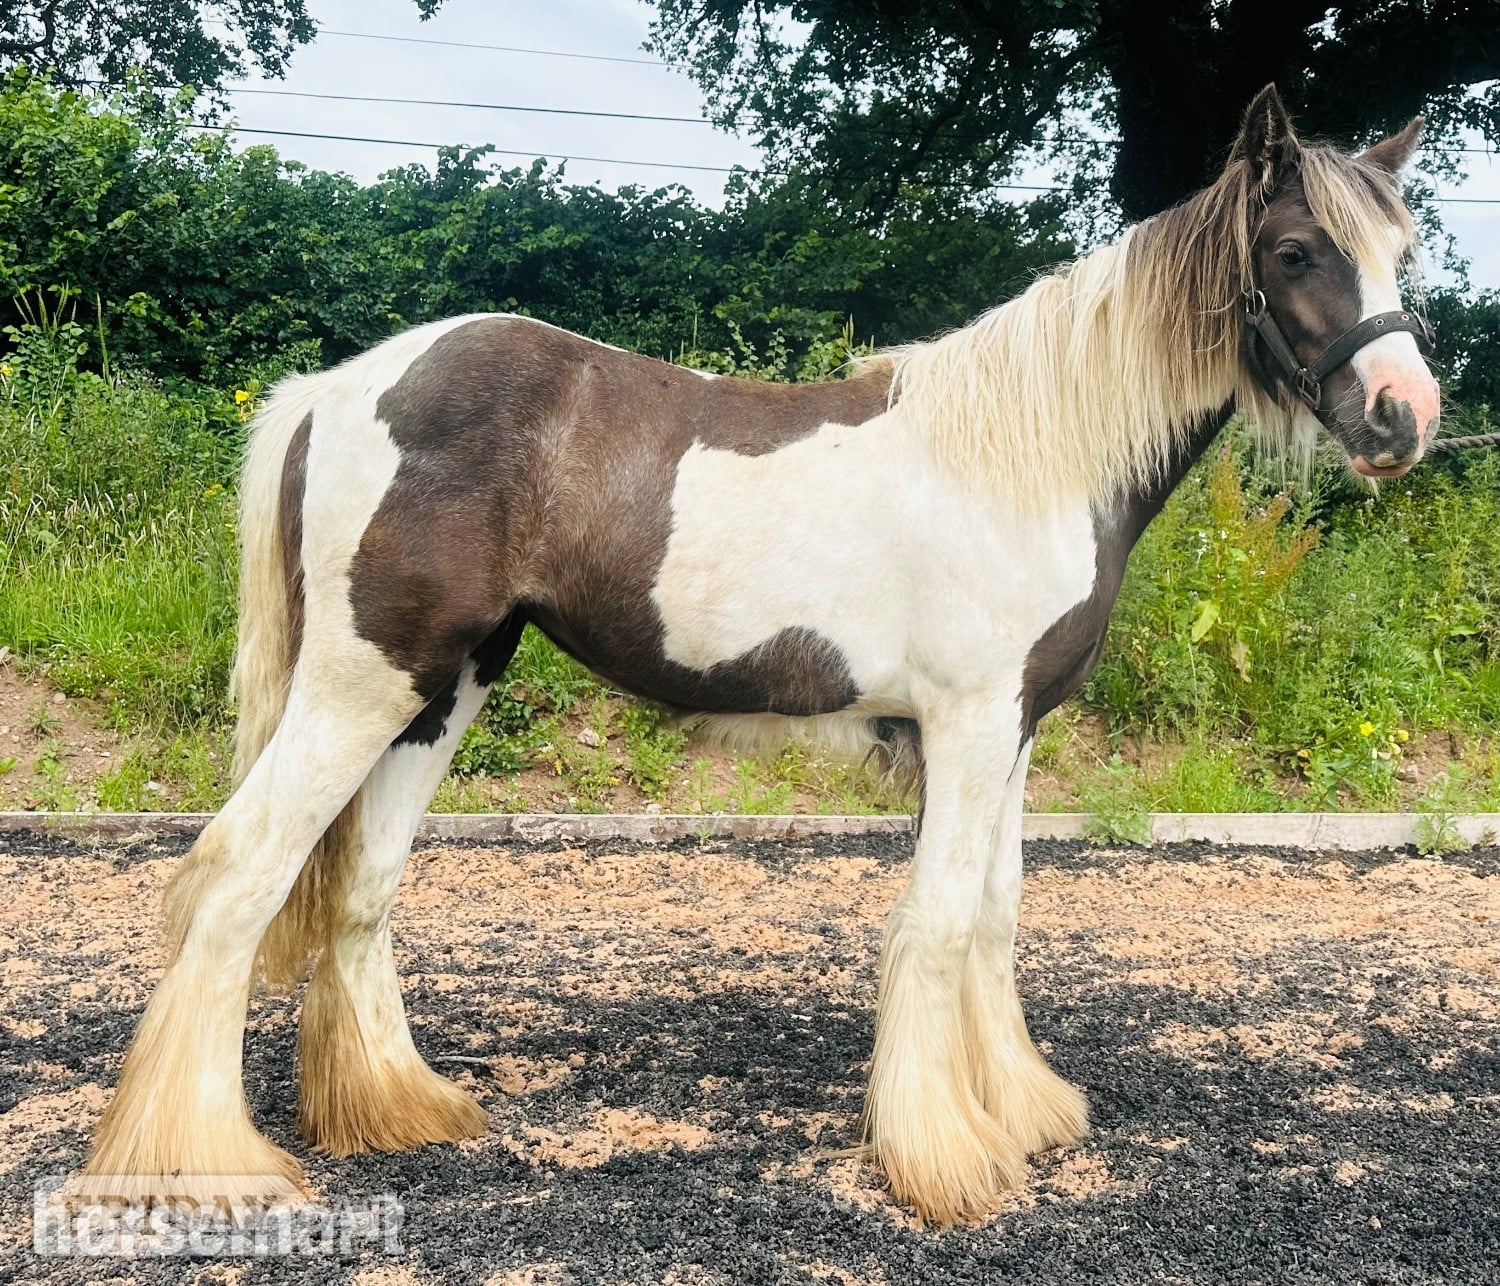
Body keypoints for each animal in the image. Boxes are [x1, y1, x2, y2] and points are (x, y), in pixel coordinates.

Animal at [74, 85, 1439, 1226]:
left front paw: (1019, 1109)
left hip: (442, 689)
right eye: (1297, 251)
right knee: (235, 877)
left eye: (1405, 252)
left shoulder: (1014, 733)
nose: (1404, 419)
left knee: (358, 889)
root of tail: (342, 383)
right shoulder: (968, 725)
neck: (1032, 455)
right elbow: (938, 922)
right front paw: (944, 1158)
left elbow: (996, 916)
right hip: (364, 682)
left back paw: (400, 1109)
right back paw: (202, 1162)